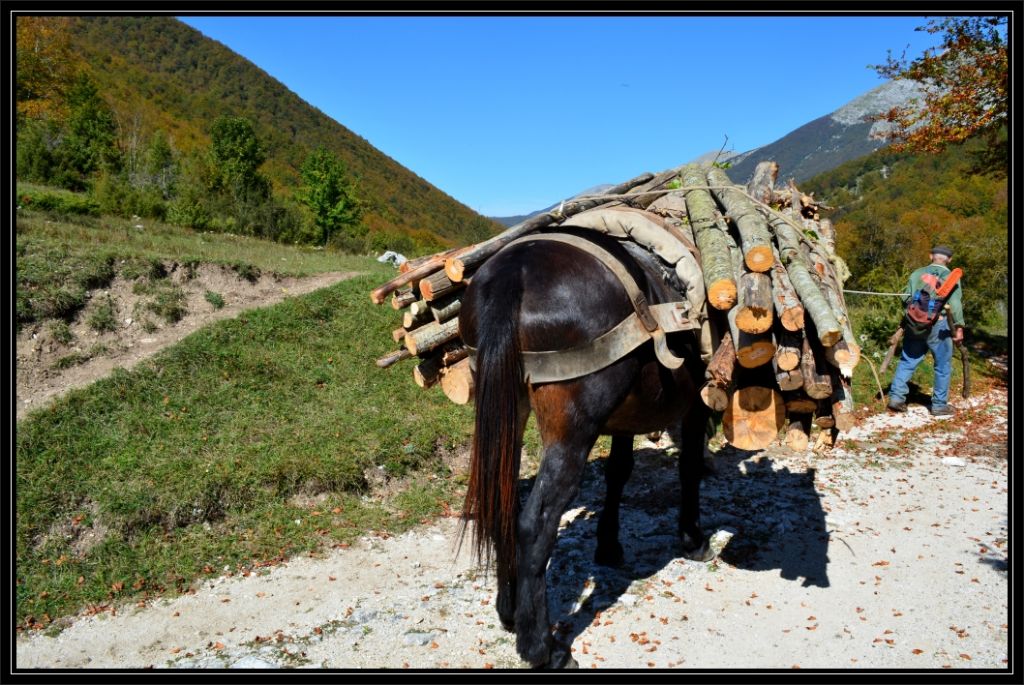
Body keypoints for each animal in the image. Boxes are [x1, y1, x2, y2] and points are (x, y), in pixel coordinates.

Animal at [456, 227, 712, 663]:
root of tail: (514, 270)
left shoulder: (627, 417)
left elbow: (619, 472)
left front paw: (608, 545)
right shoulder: (696, 404)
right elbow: (689, 466)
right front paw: (692, 538)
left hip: (507, 405)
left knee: (503, 502)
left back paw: (508, 612)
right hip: (571, 430)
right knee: (535, 523)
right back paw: (542, 649)